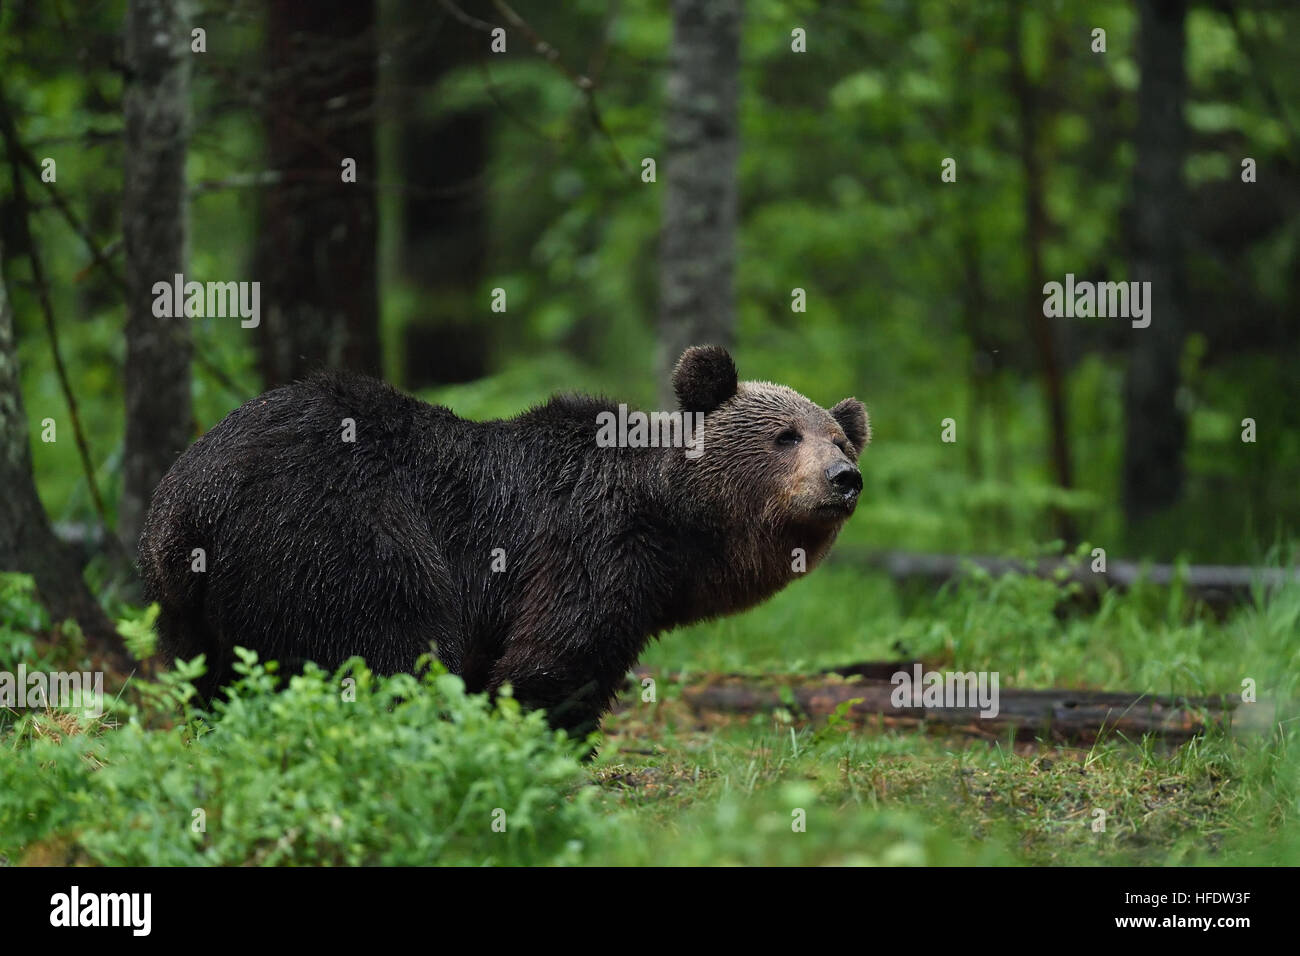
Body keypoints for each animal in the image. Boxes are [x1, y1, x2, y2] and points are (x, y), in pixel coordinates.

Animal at [138, 346, 869, 737]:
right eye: (785, 436)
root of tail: (189, 501)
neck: (676, 526)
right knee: (391, 651)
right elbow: (555, 661)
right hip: (342, 535)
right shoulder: (588, 547)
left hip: (190, 605)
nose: (845, 477)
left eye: (839, 436)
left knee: (210, 680)